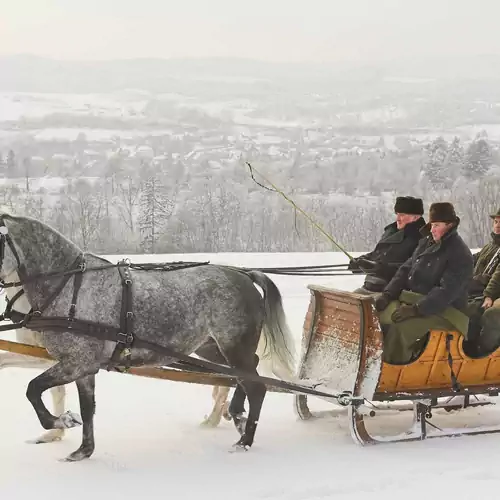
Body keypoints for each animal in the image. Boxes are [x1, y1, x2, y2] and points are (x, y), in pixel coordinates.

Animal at [0, 213, 296, 462]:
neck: (71, 287)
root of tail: (244, 274)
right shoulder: (83, 367)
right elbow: (87, 409)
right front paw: (83, 450)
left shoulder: (77, 362)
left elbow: (33, 389)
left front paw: (61, 421)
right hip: (211, 348)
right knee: (245, 373)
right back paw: (236, 415)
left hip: (233, 346)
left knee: (256, 386)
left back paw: (244, 440)